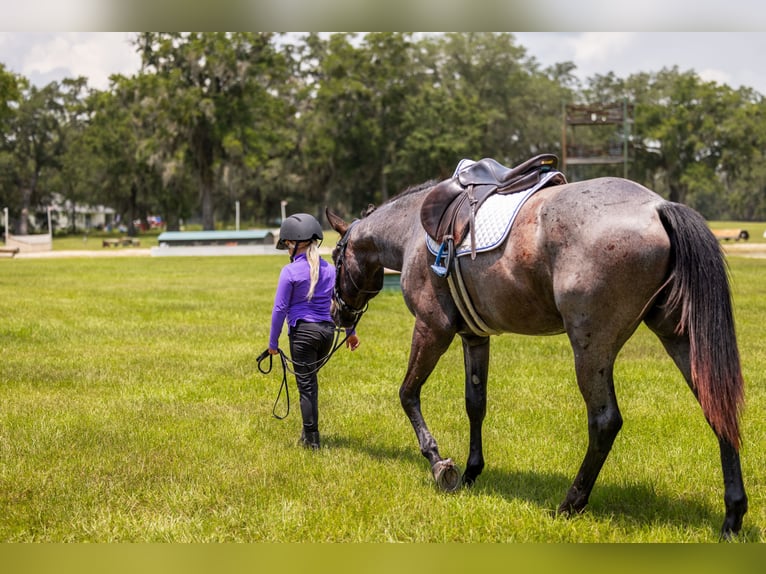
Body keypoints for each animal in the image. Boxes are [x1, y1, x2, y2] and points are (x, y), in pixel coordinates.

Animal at [325, 173, 748, 539]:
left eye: (335, 258)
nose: (337, 313)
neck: (413, 230)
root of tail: (658, 206)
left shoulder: (432, 328)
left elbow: (407, 394)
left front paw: (439, 464)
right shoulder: (474, 338)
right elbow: (475, 404)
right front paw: (472, 472)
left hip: (591, 347)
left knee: (605, 422)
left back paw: (571, 503)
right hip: (678, 337)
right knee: (716, 408)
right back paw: (733, 515)